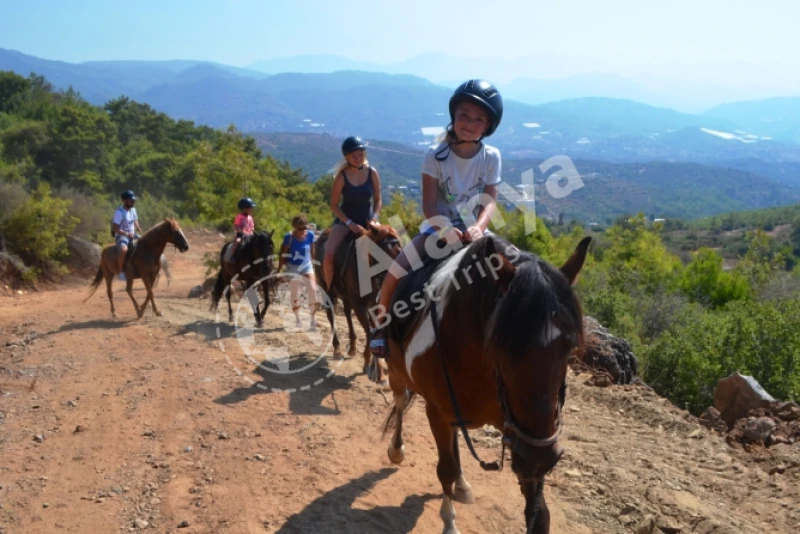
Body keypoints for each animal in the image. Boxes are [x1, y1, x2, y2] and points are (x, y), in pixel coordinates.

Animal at [312, 224, 400, 388]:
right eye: (383, 252)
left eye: (399, 250)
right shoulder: (359, 303)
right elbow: (369, 331)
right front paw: (377, 371)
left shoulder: (374, 303)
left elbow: (374, 329)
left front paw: (372, 365)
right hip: (327, 290)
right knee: (331, 315)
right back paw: (337, 348)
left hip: (346, 297)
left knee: (347, 313)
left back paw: (352, 347)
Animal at [378, 234, 592, 534]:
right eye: (501, 346)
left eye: (570, 348)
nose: (542, 458)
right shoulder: (437, 412)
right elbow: (444, 468)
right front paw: (449, 522)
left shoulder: (520, 434)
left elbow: (539, 514)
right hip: (396, 372)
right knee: (399, 403)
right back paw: (397, 450)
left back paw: (462, 483)